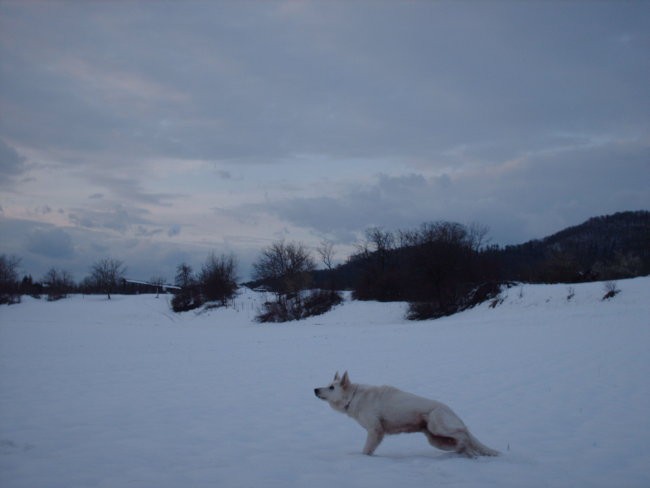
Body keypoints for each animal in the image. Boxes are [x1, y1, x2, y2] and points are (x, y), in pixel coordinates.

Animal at [314, 374, 496, 458]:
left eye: (331, 388)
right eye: (327, 385)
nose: (315, 389)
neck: (353, 397)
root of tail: (451, 411)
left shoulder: (375, 430)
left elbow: (366, 450)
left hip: (437, 425)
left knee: (463, 433)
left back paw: (465, 447)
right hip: (435, 440)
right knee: (465, 444)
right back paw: (465, 452)